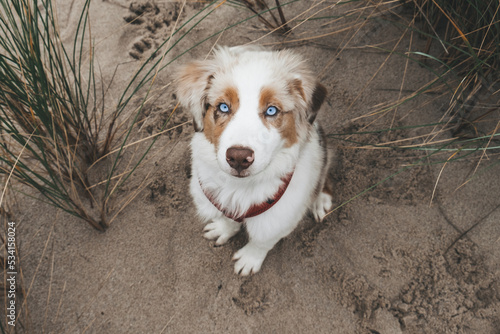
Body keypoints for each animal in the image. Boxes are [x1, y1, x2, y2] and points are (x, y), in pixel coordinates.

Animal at [175, 45, 332, 276]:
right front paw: (222, 229)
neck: (240, 188)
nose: (239, 158)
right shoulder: (215, 197)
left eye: (271, 110)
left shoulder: (280, 216)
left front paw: (249, 259)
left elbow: (262, 241)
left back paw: (320, 202)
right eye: (223, 107)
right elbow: (226, 218)